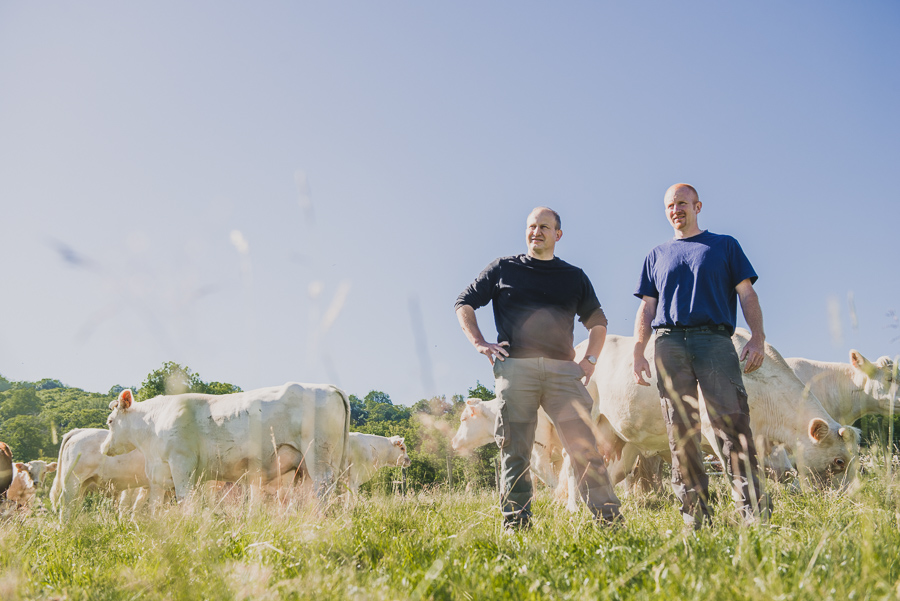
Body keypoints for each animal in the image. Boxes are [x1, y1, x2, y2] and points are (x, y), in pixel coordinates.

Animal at [100, 382, 350, 504]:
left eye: (110, 421)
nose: (104, 448)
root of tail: (328, 386)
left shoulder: (181, 463)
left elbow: (185, 499)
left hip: (318, 456)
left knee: (322, 489)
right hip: (313, 463)